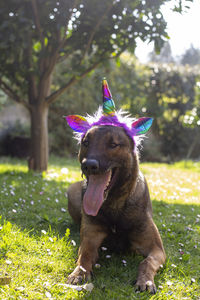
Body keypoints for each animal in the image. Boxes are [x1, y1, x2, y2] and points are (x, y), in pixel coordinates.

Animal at [65, 79, 166, 292]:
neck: (114, 205)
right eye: (86, 142)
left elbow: (146, 262)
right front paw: (79, 273)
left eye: (113, 145)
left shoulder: (157, 249)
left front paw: (145, 280)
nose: (89, 165)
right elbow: (84, 256)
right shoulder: (90, 239)